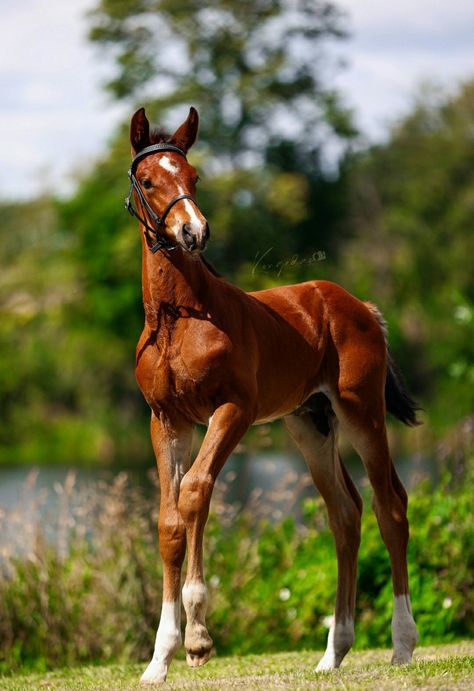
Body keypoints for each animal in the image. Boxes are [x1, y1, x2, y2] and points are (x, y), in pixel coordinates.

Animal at [126, 108, 418, 688]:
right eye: (147, 181)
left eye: (193, 177)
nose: (194, 232)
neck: (178, 319)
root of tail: (361, 306)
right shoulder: (166, 419)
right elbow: (169, 518)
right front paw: (159, 658)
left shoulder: (234, 409)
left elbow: (195, 492)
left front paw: (198, 639)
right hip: (311, 423)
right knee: (345, 513)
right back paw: (333, 653)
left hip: (361, 411)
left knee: (389, 506)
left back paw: (401, 645)